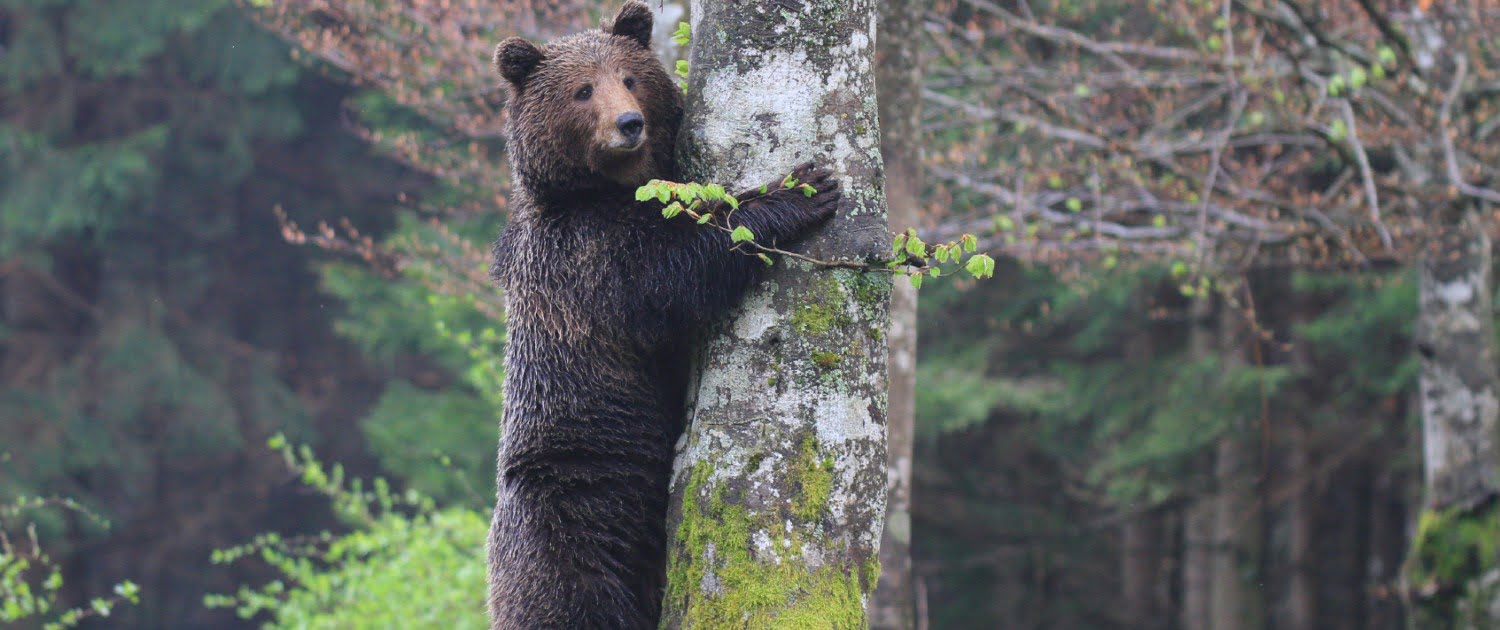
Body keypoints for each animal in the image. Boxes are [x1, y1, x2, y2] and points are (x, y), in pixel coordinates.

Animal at [483, 2, 846, 627]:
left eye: (631, 78)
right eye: (583, 90)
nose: (629, 124)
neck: (602, 191)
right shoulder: (583, 261)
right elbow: (674, 274)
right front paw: (798, 189)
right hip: (569, 517)